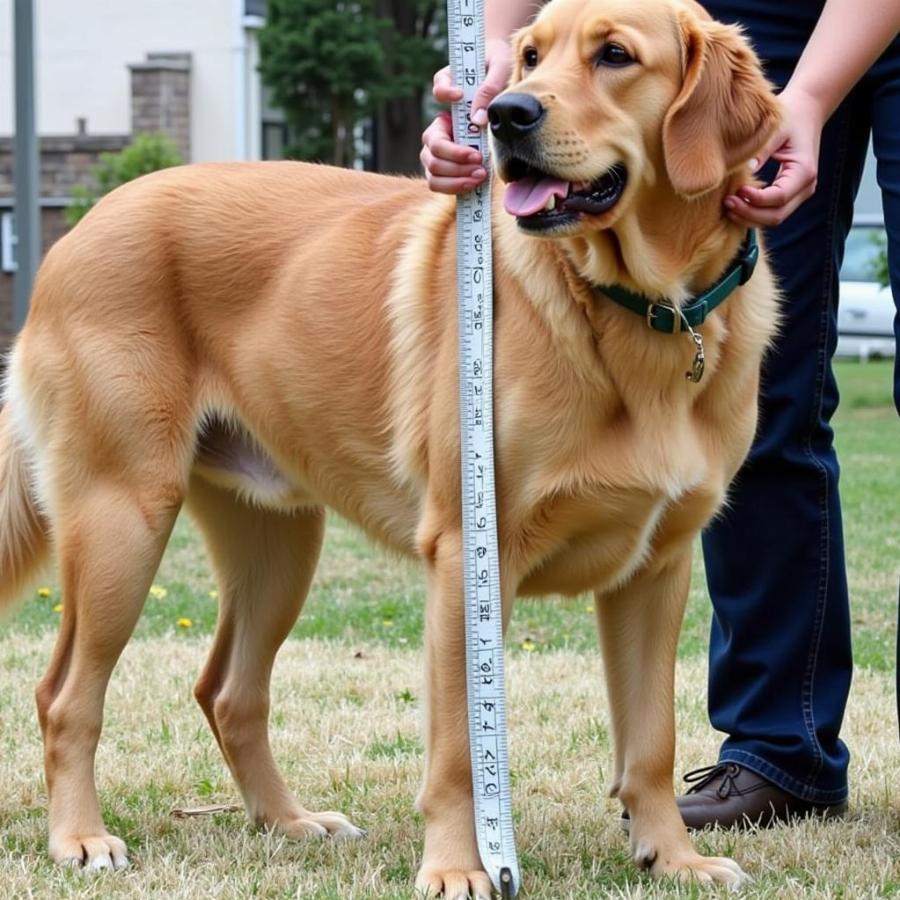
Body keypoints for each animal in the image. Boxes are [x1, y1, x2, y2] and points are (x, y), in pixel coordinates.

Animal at [0, 0, 780, 888]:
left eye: (615, 55)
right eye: (530, 56)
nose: (504, 115)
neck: (639, 309)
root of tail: (78, 230)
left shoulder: (658, 569)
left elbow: (651, 742)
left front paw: (673, 858)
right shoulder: (469, 559)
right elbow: (459, 755)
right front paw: (456, 869)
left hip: (277, 542)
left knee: (228, 692)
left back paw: (289, 821)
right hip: (122, 521)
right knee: (65, 696)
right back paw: (80, 837)